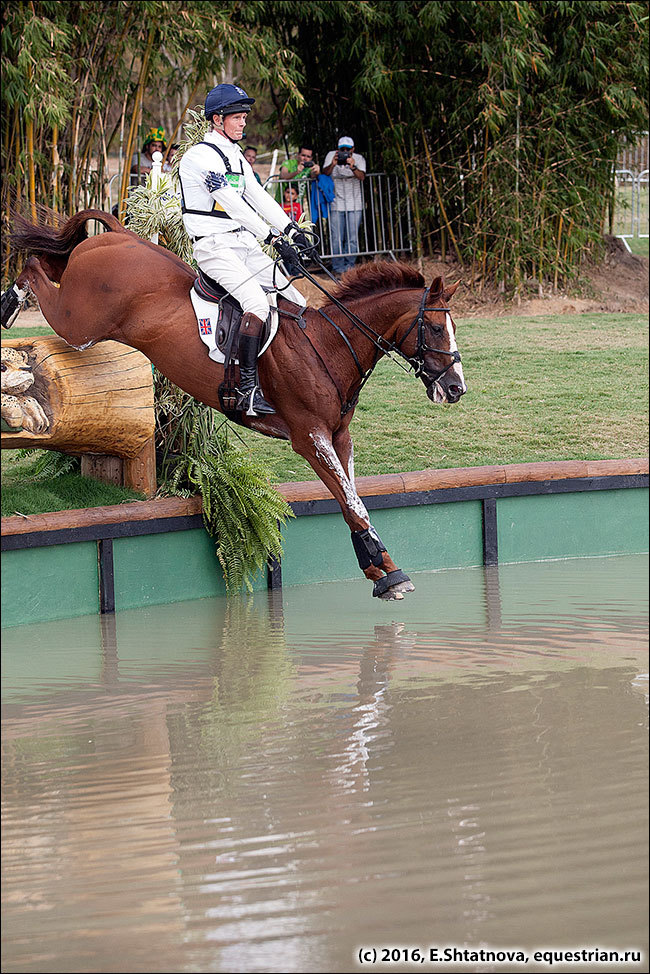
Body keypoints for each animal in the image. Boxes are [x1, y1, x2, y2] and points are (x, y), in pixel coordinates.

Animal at [2, 210, 464, 600]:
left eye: (452, 326)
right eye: (435, 328)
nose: (456, 388)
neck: (329, 346)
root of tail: (117, 237)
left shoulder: (338, 436)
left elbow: (353, 498)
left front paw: (375, 567)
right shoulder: (310, 437)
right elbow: (351, 501)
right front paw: (390, 574)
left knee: (53, 261)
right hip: (78, 322)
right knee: (37, 270)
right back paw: (10, 302)